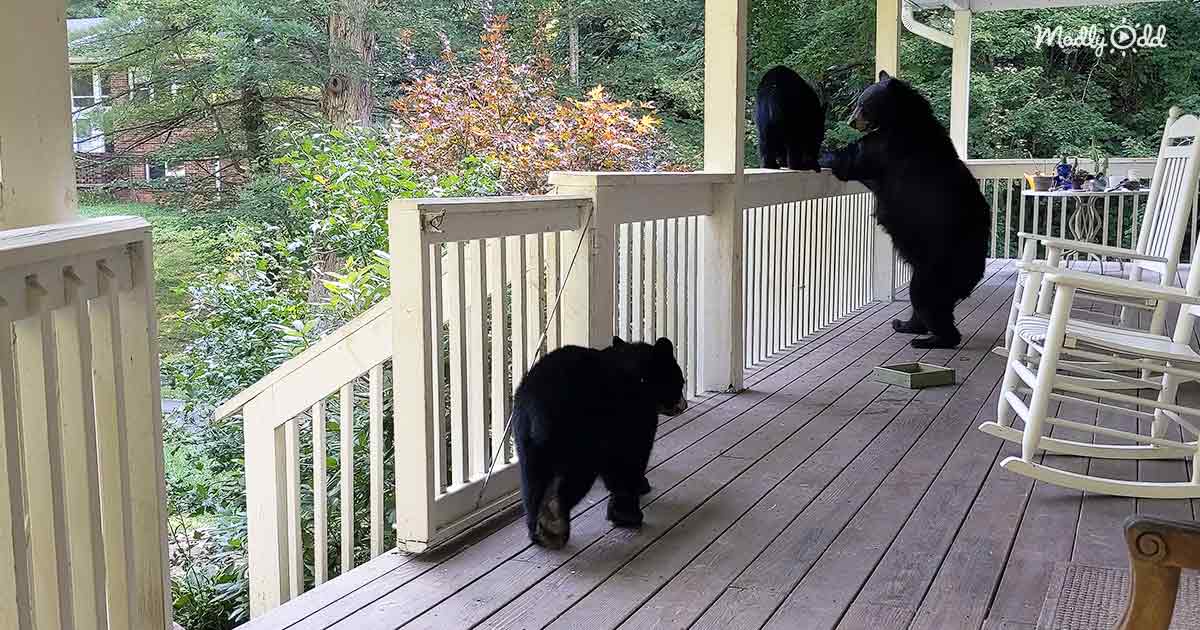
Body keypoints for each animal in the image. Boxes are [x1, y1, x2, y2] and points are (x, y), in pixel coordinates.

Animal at [513, 336, 687, 550]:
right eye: (680, 381)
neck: (640, 380)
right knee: (574, 475)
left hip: (527, 440)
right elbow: (629, 462)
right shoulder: (633, 420)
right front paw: (628, 512)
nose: (684, 405)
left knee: (532, 482)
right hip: (580, 437)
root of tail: (536, 403)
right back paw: (553, 519)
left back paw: (538, 532)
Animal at [821, 70, 990, 349]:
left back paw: (933, 339)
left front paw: (823, 153)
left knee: (925, 298)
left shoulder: (887, 147)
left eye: (864, 104)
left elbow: (852, 160)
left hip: (938, 265)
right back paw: (907, 325)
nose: (851, 121)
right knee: (925, 303)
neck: (903, 120)